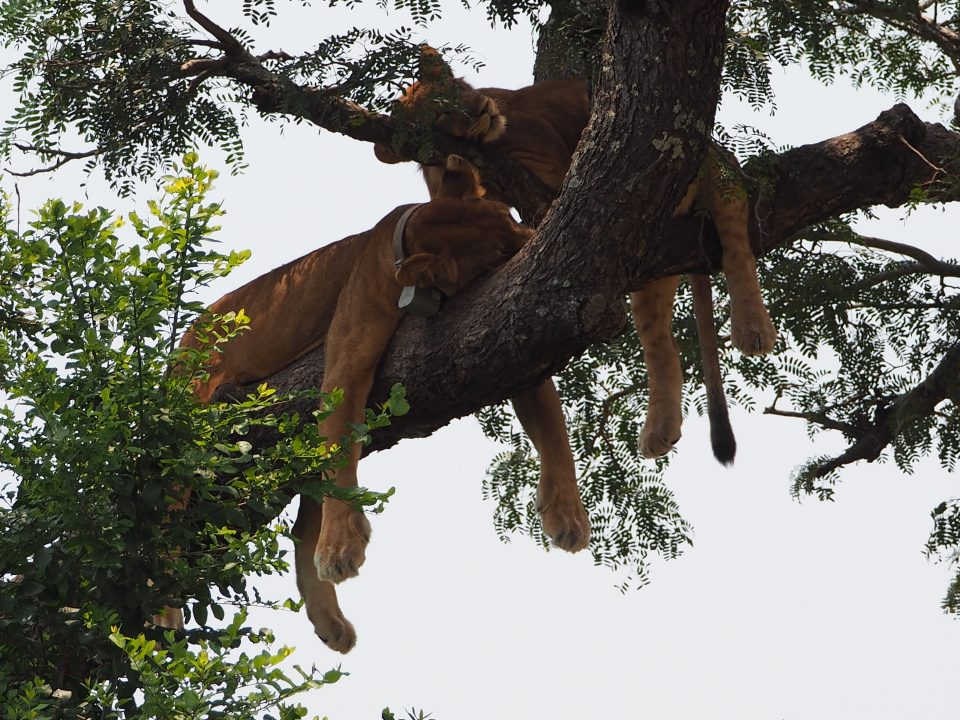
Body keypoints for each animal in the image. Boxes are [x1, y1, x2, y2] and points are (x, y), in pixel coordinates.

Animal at [176, 155, 589, 653]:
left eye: (508, 220)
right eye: (499, 250)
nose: (537, 235)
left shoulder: (512, 340)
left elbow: (553, 427)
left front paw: (568, 514)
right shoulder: (346, 362)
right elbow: (339, 462)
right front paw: (342, 547)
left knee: (301, 528)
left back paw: (331, 623)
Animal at [375, 47, 777, 463]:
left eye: (454, 90)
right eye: (439, 115)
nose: (479, 109)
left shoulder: (552, 170)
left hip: (709, 166)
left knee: (736, 231)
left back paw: (753, 329)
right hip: (649, 249)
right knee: (661, 341)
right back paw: (659, 430)